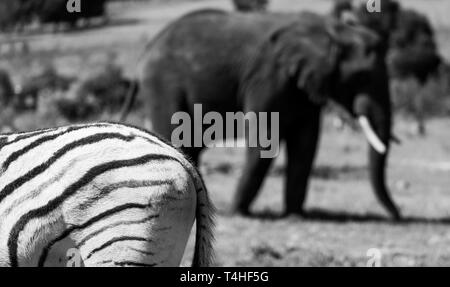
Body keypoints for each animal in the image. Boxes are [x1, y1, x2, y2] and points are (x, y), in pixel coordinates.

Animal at [119, 9, 400, 220]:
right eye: (362, 77)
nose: (398, 215)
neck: (331, 30)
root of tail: (146, 51)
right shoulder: (268, 76)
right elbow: (266, 139)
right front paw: (236, 213)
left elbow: (306, 143)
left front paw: (295, 216)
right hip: (163, 85)